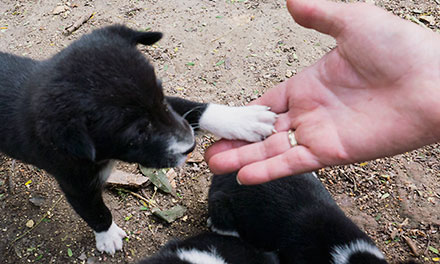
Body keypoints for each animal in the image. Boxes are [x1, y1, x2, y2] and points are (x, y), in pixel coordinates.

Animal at [0, 25, 276, 255]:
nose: (191, 145)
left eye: (162, 99)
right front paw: (108, 236)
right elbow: (95, 211)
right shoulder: (75, 182)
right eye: (137, 133)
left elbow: (193, 109)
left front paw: (242, 119)